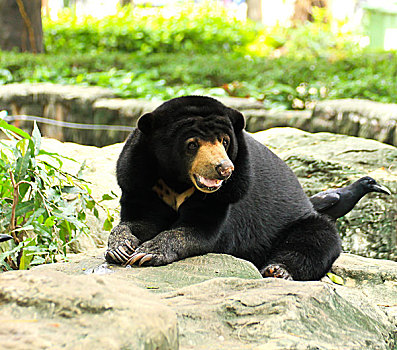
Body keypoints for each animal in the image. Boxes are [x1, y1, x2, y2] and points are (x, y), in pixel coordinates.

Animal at [106, 96, 340, 282]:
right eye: (192, 144)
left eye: (225, 141)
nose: (224, 168)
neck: (178, 181)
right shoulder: (139, 179)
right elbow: (141, 219)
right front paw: (120, 247)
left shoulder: (228, 194)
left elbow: (198, 230)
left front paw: (148, 252)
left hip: (299, 222)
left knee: (315, 240)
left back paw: (277, 270)